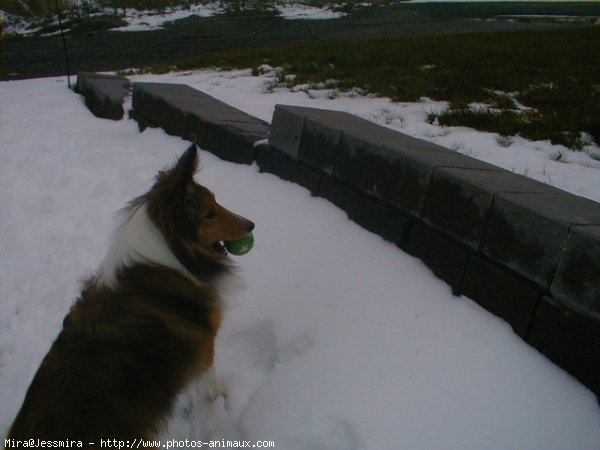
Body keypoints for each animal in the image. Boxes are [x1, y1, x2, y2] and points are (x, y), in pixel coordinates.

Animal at [7, 144, 255, 442]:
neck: (166, 258)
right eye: (209, 213)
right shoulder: (207, 345)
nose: (251, 225)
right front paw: (219, 396)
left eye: (216, 201)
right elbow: (209, 381)